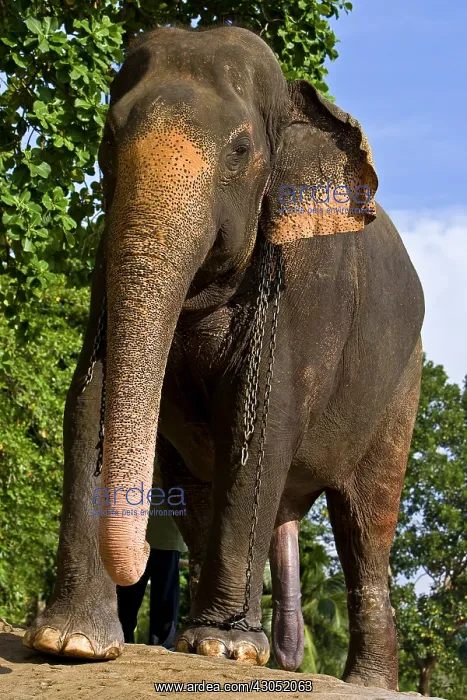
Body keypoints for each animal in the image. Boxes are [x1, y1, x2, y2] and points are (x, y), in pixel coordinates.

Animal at [23, 24, 424, 691]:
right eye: (108, 138)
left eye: (240, 151)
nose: (140, 555)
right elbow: (88, 392)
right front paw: (70, 642)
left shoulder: (302, 284)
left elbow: (260, 418)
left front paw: (224, 649)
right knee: (204, 491)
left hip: (403, 390)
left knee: (367, 524)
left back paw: (359, 681)